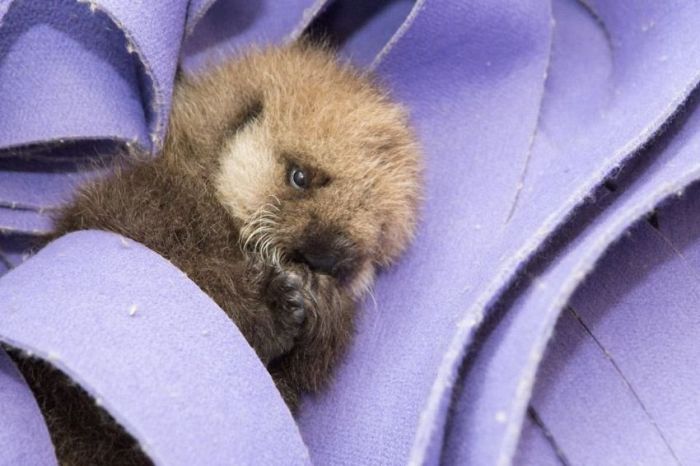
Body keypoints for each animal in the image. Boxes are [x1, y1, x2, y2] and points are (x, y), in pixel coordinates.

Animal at [15, 42, 422, 462]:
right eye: (300, 177)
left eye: (376, 236)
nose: (330, 259)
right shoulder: (141, 209)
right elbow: (197, 278)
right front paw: (281, 302)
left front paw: (317, 295)